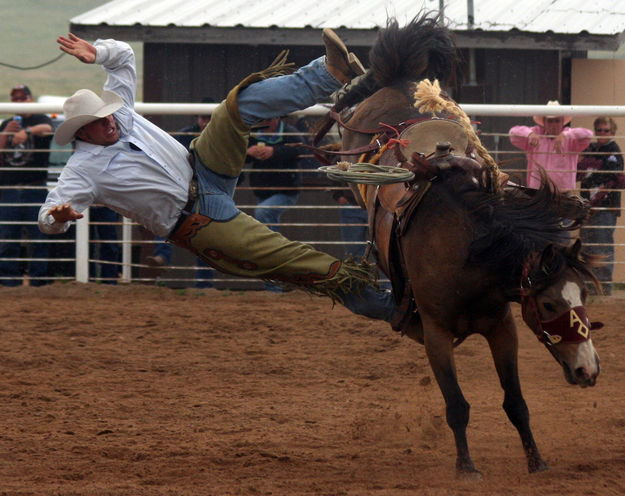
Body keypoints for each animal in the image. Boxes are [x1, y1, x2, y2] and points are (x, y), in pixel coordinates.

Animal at [330, 15, 604, 478]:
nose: (588, 369)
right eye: (549, 304)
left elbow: (516, 402)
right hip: (353, 147)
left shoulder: (503, 327)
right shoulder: (438, 336)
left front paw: (536, 461)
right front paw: (466, 467)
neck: (467, 256)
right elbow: (457, 405)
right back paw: (348, 76)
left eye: (582, 294)